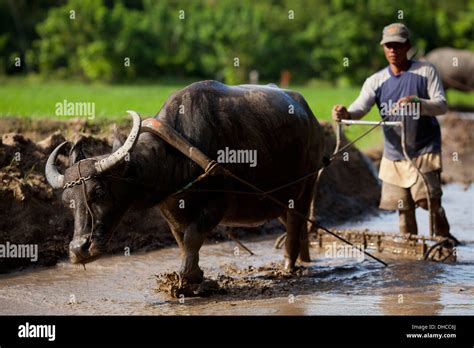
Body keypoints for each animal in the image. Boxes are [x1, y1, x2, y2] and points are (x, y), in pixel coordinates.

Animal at [45, 81, 326, 286]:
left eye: (99, 191)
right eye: (68, 202)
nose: (79, 249)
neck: (175, 156)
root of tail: (311, 118)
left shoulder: (217, 204)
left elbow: (192, 237)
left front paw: (187, 279)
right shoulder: (170, 210)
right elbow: (182, 242)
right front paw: (193, 274)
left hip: (306, 186)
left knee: (295, 224)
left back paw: (288, 266)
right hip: (274, 199)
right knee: (295, 225)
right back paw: (305, 258)